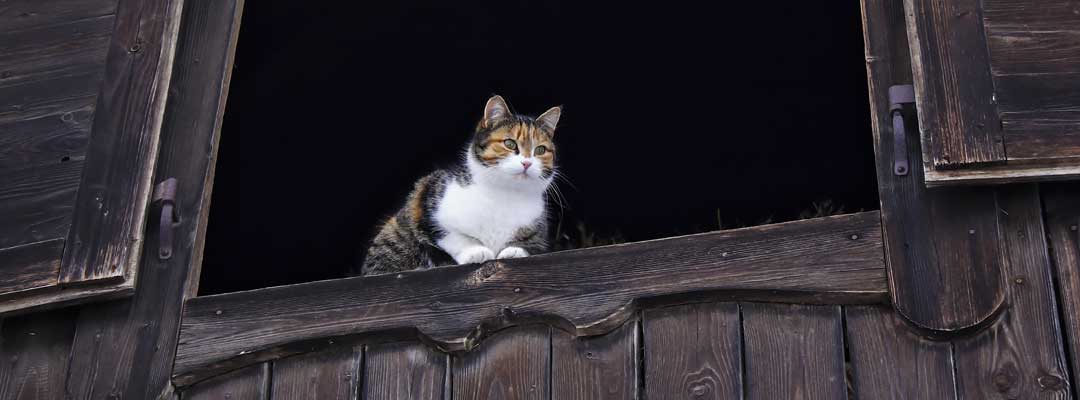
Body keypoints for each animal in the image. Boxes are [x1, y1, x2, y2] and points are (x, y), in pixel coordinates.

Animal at [360, 95, 565, 276]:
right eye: (509, 143)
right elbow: (451, 235)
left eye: (540, 150)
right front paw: (476, 250)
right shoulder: (426, 195)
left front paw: (514, 250)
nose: (527, 163)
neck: (505, 193)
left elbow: (533, 243)